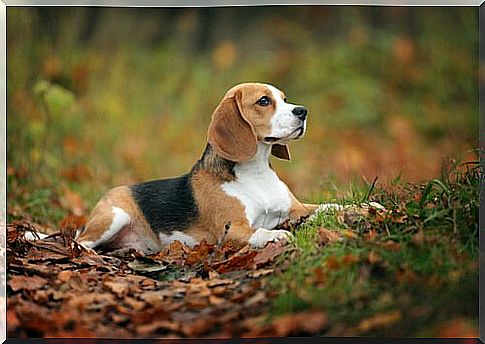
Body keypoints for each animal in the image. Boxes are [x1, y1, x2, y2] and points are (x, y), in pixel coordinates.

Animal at [76, 82, 332, 254]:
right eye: (264, 101)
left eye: (285, 98)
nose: (303, 111)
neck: (256, 172)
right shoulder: (232, 230)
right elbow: (260, 232)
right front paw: (278, 234)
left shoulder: (296, 209)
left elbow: (324, 207)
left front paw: (341, 208)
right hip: (113, 217)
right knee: (79, 241)